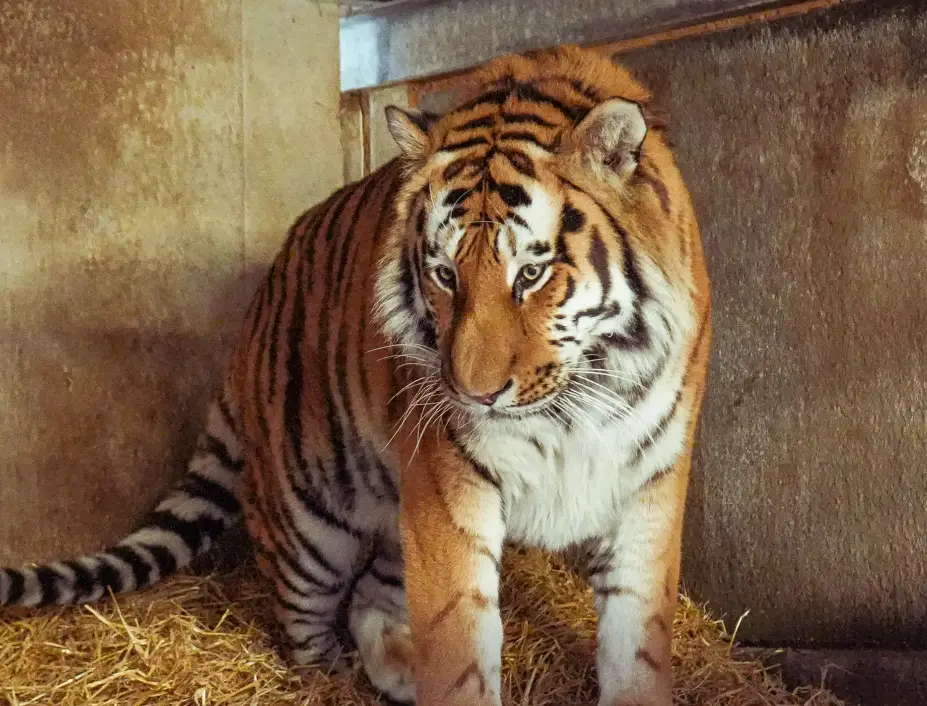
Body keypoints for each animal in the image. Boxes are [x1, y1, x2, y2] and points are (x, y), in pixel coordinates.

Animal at [0, 45, 710, 706]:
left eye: (531, 274)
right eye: (444, 274)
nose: (472, 394)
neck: (576, 403)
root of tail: (251, 319)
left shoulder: (649, 483)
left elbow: (637, 643)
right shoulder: (449, 489)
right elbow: (458, 648)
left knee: (371, 595)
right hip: (310, 520)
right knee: (304, 624)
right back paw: (338, 675)